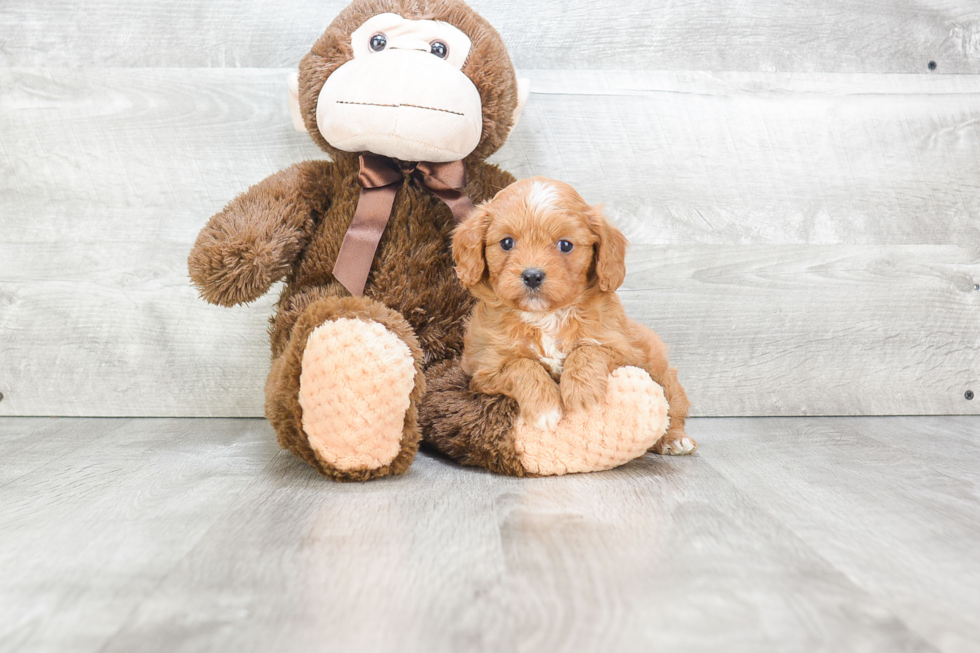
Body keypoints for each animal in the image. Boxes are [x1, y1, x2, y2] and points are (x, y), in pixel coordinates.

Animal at [454, 176, 696, 456]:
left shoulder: (625, 352)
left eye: (565, 245)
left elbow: (588, 349)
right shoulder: (485, 368)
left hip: (662, 372)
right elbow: (522, 365)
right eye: (506, 243)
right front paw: (545, 407)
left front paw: (582, 394)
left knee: (674, 406)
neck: (546, 316)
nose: (532, 275)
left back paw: (675, 439)